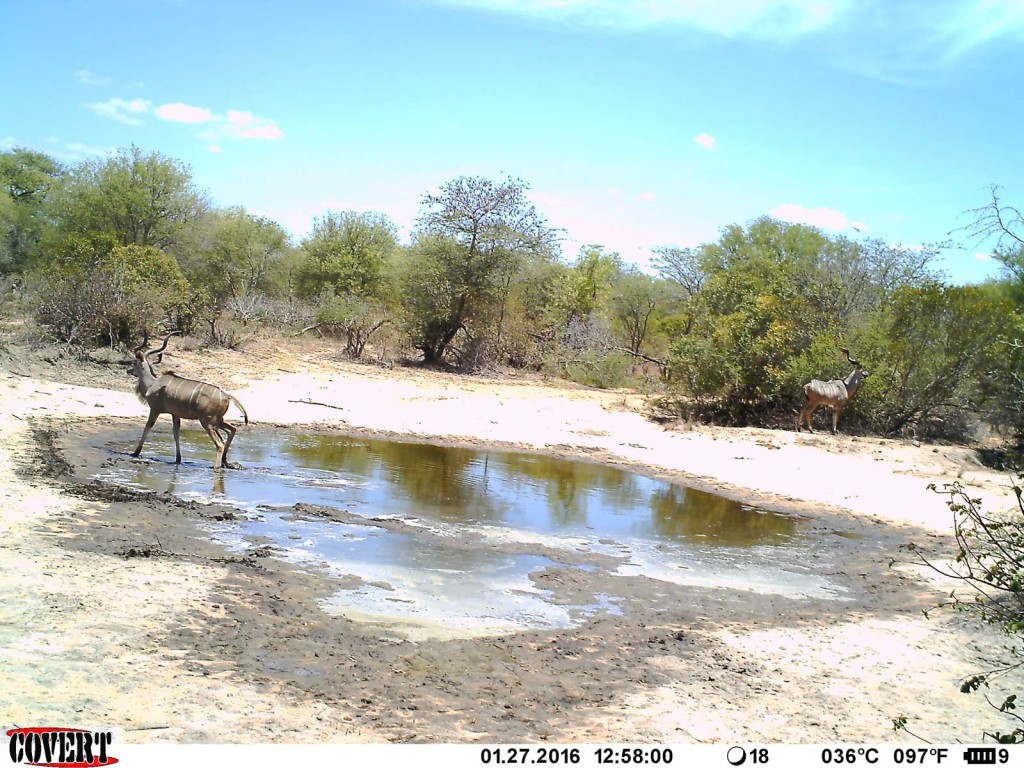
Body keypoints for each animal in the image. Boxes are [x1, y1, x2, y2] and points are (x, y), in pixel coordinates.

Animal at [129, 331, 248, 468]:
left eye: (133, 362)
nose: (128, 370)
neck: (152, 384)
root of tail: (227, 396)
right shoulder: (175, 415)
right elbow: (176, 434)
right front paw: (178, 459)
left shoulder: (155, 410)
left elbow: (147, 427)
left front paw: (135, 453)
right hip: (217, 421)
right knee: (232, 430)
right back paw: (225, 462)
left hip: (207, 422)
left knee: (220, 443)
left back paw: (216, 466)